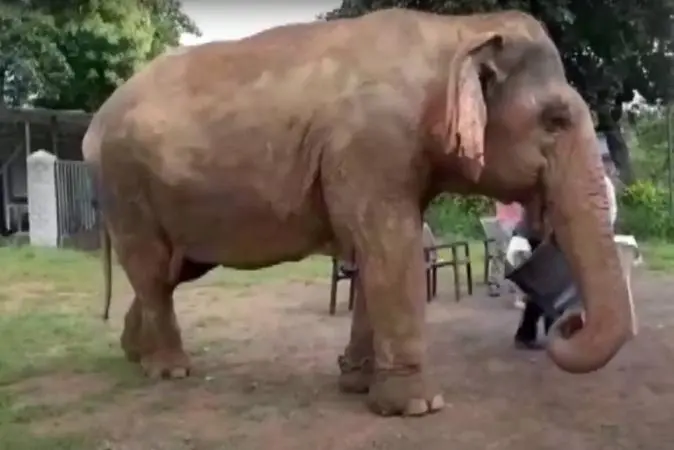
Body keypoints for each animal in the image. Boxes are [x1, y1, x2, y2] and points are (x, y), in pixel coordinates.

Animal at [83, 8, 635, 417]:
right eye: (555, 120)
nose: (569, 321)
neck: (457, 30)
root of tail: (96, 122)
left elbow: (376, 254)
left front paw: (357, 385)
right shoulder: (373, 144)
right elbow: (391, 245)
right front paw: (418, 407)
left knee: (171, 272)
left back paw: (135, 356)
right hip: (125, 182)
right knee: (152, 269)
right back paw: (170, 370)